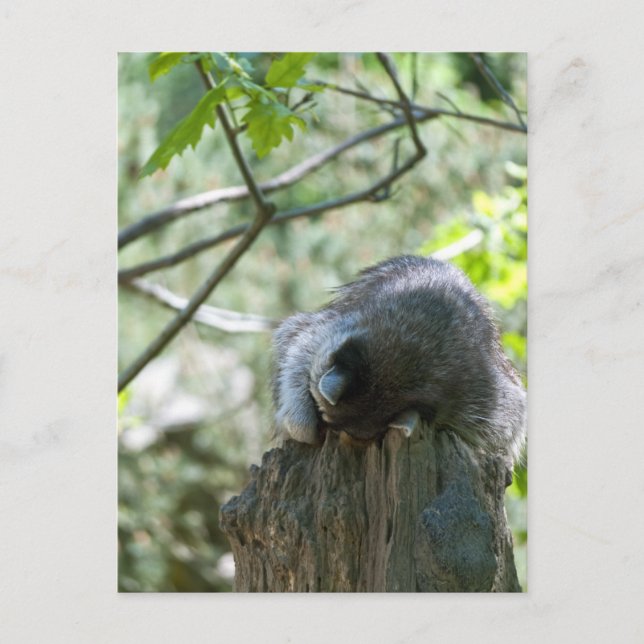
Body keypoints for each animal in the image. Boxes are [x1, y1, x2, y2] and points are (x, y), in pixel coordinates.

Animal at [271, 255, 526, 465]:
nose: (324, 430)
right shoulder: (338, 323)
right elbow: (297, 345)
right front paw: (300, 418)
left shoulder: (484, 393)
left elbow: (507, 429)